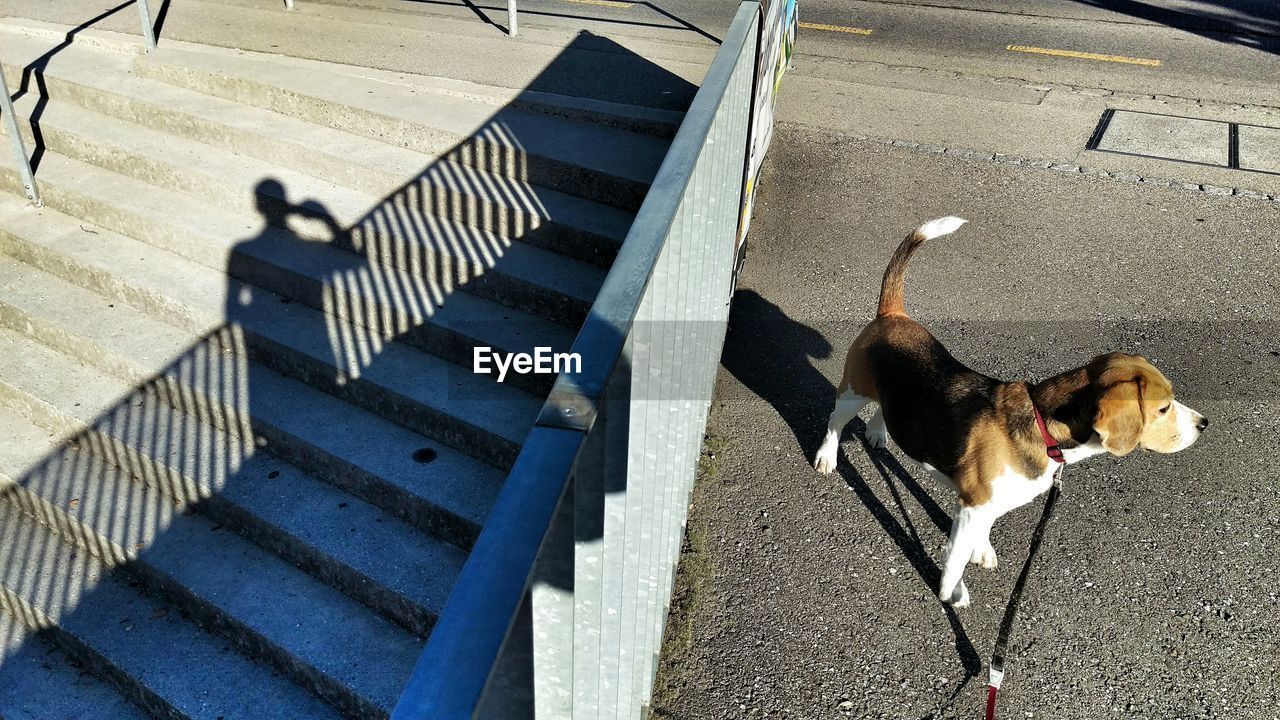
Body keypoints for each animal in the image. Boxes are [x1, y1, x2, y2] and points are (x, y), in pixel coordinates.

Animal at [814, 215, 1203, 602]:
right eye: (1164, 408)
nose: (1204, 424)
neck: (1043, 425)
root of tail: (892, 314)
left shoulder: (985, 505)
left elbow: (982, 531)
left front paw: (981, 550)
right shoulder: (972, 505)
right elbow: (954, 559)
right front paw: (951, 594)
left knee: (883, 408)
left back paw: (879, 433)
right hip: (852, 393)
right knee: (834, 421)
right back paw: (827, 457)